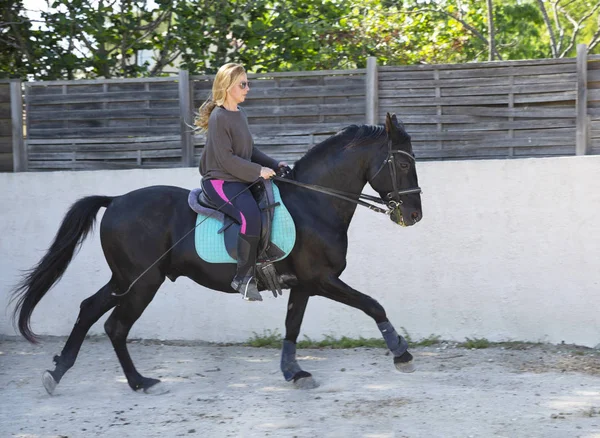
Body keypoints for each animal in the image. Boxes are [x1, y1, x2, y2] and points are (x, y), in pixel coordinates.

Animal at [9, 112, 422, 394]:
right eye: (403, 163)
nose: (415, 216)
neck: (314, 203)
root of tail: (116, 200)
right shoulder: (322, 279)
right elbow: (373, 305)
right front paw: (401, 352)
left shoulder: (304, 284)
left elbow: (292, 325)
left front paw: (294, 372)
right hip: (142, 282)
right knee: (114, 325)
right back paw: (136, 380)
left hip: (126, 279)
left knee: (91, 310)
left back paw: (66, 372)